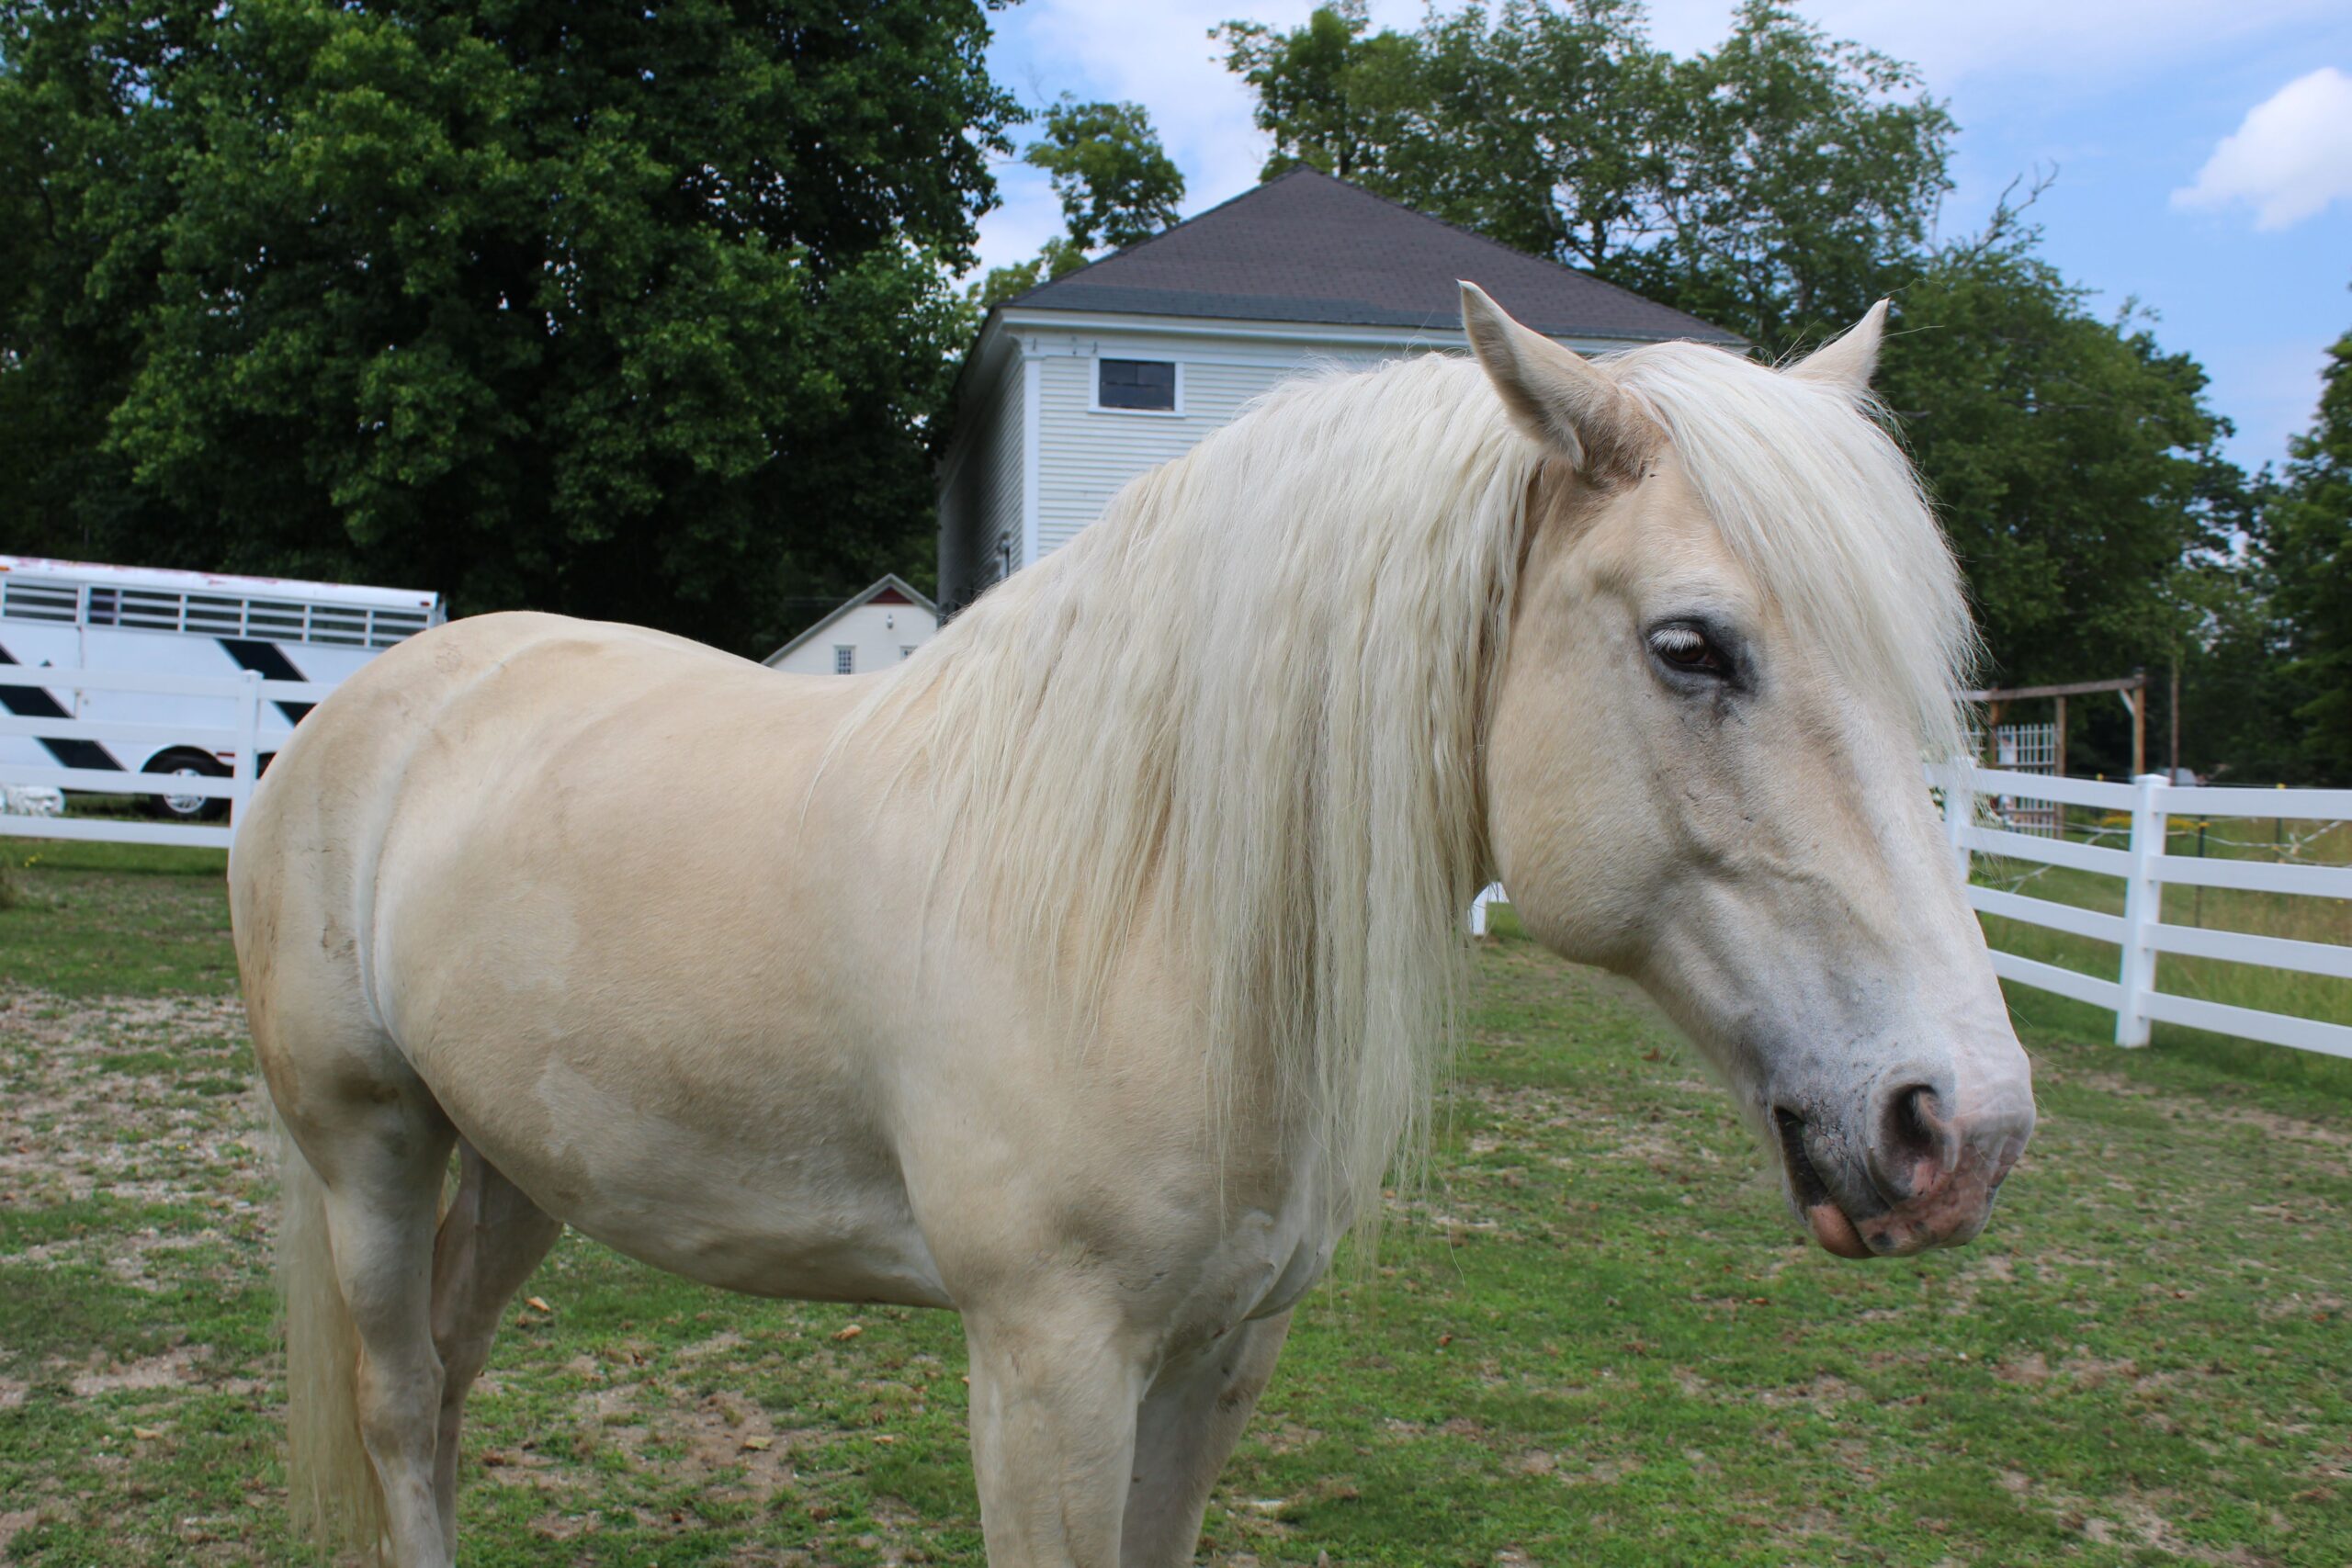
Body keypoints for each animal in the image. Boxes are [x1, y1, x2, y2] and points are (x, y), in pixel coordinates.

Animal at [229, 284, 2035, 1566]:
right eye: (1690, 647)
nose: (1959, 1127)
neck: (1147, 903)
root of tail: (362, 707)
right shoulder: (1047, 1368)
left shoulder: (1221, 1353)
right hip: (371, 1144)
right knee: (401, 1403)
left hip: (524, 1160)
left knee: (450, 1384)